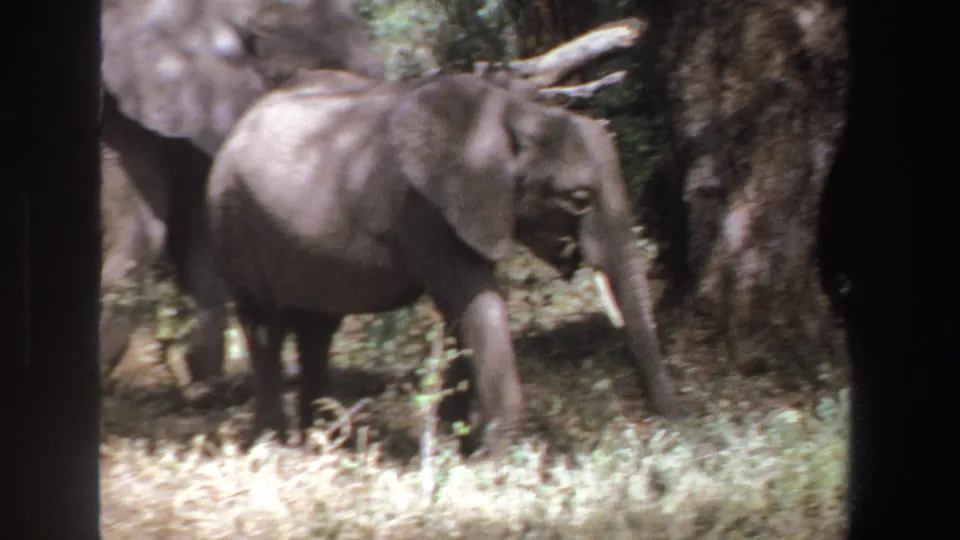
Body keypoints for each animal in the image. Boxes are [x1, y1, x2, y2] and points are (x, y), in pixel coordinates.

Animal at [206, 71, 683, 452]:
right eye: (579, 199)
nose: (664, 428)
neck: (513, 112)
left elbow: (462, 318)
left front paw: (457, 447)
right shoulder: (428, 212)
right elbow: (475, 306)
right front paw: (492, 458)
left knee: (316, 329)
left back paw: (325, 442)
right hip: (233, 219)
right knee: (265, 327)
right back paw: (277, 448)